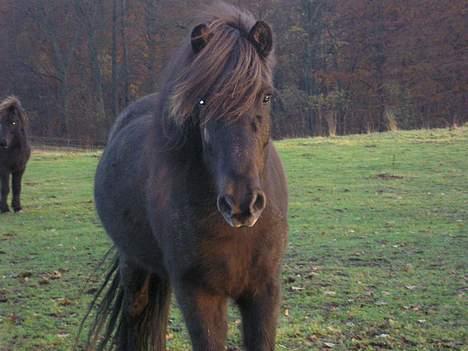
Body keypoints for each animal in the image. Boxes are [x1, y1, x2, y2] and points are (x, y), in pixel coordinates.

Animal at [85, 3, 288, 351]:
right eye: (203, 100)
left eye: (266, 96)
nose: (241, 203)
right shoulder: (199, 296)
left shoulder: (264, 293)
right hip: (133, 267)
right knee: (135, 318)